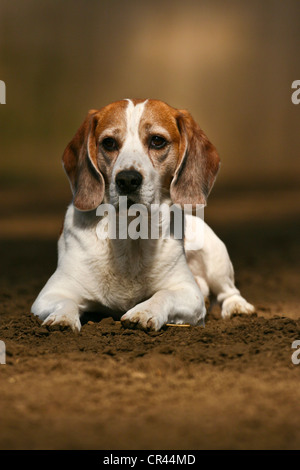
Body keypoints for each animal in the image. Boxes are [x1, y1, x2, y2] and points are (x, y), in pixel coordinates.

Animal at [31, 98, 254, 332]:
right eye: (109, 143)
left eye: (157, 141)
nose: (127, 179)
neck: (131, 234)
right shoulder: (51, 294)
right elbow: (66, 302)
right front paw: (62, 318)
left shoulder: (188, 291)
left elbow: (162, 295)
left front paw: (143, 312)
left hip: (216, 258)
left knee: (228, 291)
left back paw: (238, 307)